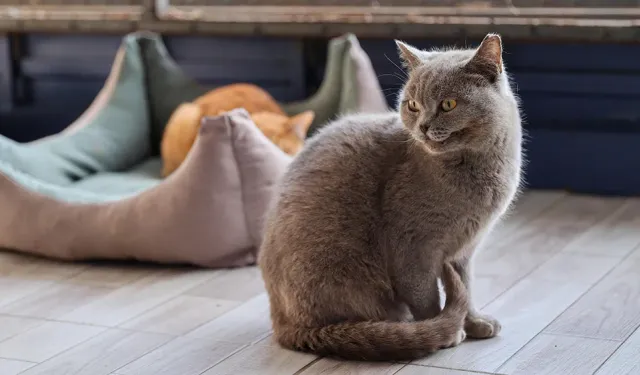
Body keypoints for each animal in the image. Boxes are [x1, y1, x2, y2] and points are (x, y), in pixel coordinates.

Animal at [258, 34, 524, 362]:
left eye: (448, 104)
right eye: (413, 105)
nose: (423, 126)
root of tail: (282, 324)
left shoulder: (465, 250)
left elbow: (466, 285)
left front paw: (474, 322)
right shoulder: (412, 247)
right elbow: (426, 296)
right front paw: (446, 329)